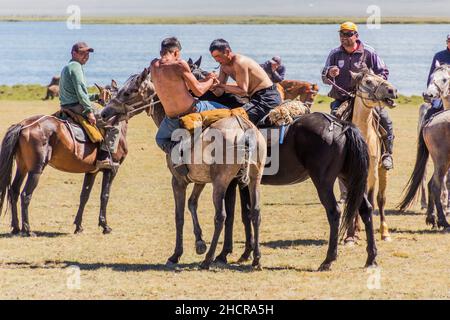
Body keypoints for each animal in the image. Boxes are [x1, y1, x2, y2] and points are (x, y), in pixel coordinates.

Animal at [185, 58, 378, 270]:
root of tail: (341, 125)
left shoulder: (231, 182)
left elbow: (232, 215)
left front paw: (223, 254)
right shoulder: (245, 183)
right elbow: (246, 214)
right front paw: (246, 253)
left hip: (324, 181)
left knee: (334, 212)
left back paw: (328, 260)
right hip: (350, 178)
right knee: (366, 209)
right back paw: (371, 258)